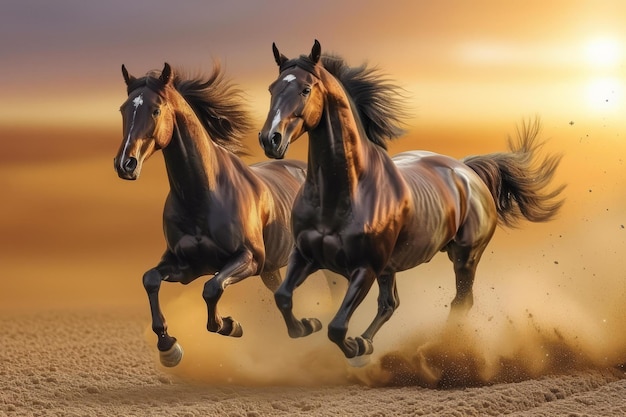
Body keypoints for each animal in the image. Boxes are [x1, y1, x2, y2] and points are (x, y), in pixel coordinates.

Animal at [113, 62, 308, 368]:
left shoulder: (249, 258)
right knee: (280, 292)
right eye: (123, 109)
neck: (202, 196)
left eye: (156, 109)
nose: (125, 164)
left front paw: (230, 325)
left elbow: (212, 288)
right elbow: (150, 279)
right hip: (272, 267)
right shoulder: (185, 266)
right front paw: (168, 347)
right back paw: (300, 329)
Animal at [256, 39, 564, 364]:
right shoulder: (306, 255)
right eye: (272, 88)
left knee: (460, 302)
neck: (340, 196)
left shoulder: (364, 268)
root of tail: (468, 170)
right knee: (391, 303)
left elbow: (337, 328)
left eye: (305, 89)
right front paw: (309, 325)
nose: (270, 139)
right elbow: (283, 297)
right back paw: (369, 341)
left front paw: (354, 349)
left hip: (466, 257)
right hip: (393, 268)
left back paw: (443, 348)